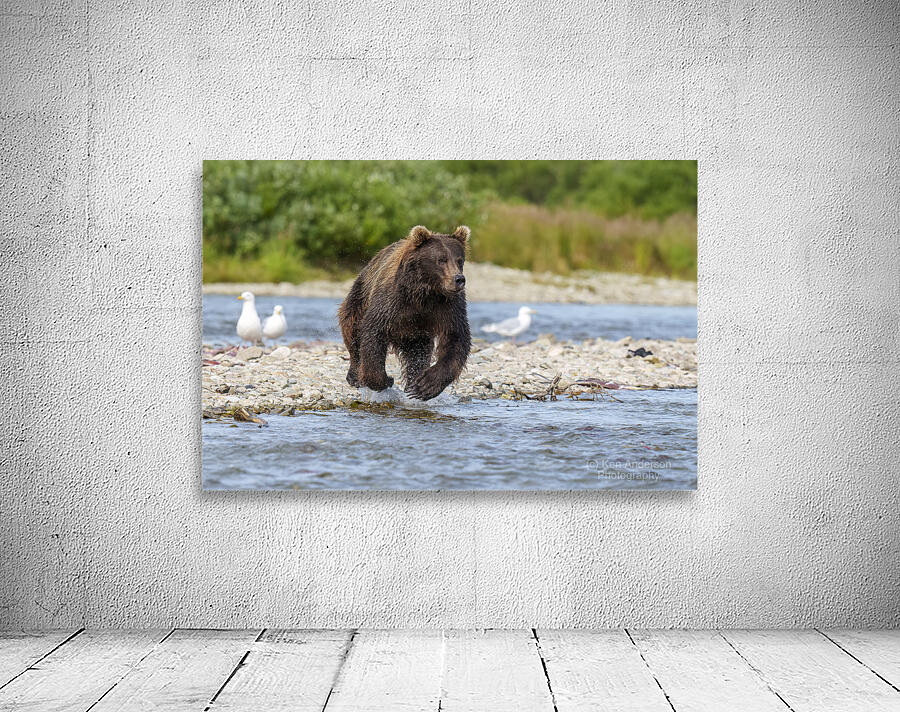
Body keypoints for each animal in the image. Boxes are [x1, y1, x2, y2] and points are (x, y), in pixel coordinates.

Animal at [338, 225, 471, 401]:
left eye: (459, 260)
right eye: (441, 260)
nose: (459, 279)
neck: (425, 292)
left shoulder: (449, 306)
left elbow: (456, 337)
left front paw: (425, 385)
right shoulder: (393, 300)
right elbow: (373, 332)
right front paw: (385, 380)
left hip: (415, 334)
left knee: (418, 352)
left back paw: (412, 381)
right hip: (360, 294)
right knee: (352, 329)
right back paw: (354, 375)